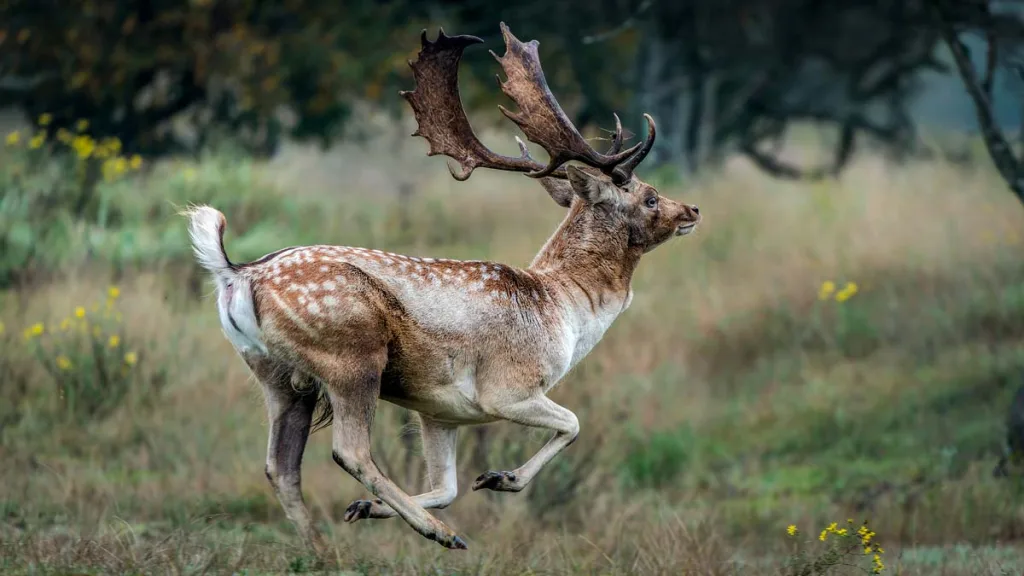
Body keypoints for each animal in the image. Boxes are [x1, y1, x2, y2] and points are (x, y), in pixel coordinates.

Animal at [184, 24, 700, 549]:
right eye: (649, 196)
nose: (692, 210)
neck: (563, 308)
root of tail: (236, 275)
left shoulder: (441, 412)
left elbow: (446, 486)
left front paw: (372, 507)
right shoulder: (505, 389)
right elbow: (573, 423)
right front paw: (499, 478)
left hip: (275, 374)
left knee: (281, 467)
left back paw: (325, 550)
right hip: (352, 357)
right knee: (348, 451)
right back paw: (440, 534)